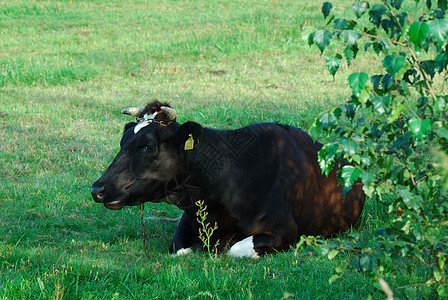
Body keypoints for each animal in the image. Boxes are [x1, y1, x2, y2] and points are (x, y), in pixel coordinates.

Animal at [90, 100, 364, 258]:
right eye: (123, 142)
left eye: (148, 146)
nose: (97, 189)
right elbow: (177, 248)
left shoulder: (286, 230)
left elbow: (234, 249)